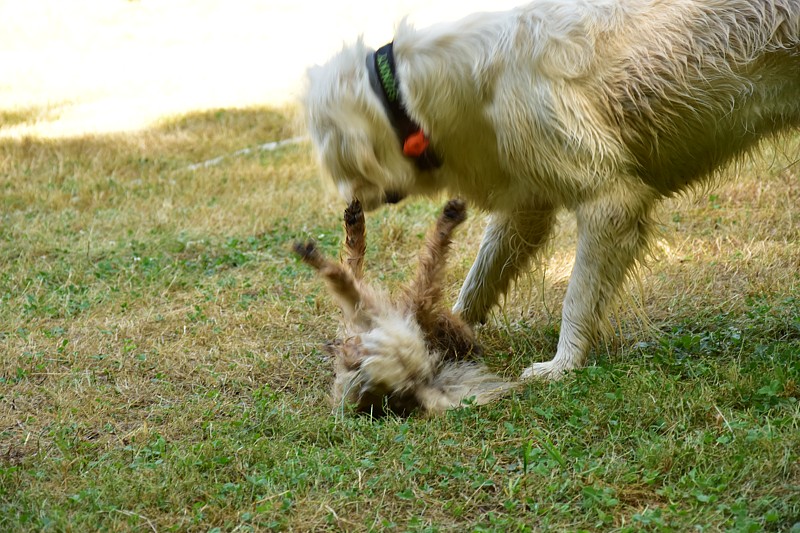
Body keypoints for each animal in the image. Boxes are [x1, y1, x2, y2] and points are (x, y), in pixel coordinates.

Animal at [302, 1, 800, 382]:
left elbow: (576, 298)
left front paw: (562, 365)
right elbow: (480, 277)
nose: (350, 206)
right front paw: (440, 332)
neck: (407, 96)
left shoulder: (610, 202)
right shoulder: (526, 203)